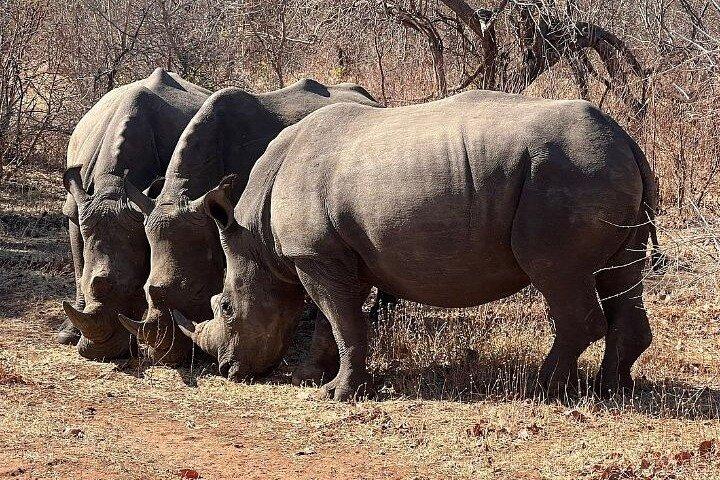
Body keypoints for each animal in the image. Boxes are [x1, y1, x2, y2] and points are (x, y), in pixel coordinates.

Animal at [59, 68, 210, 360]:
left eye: (132, 291)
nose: (99, 352)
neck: (113, 186)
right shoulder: (78, 208)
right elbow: (79, 264)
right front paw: (68, 335)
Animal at [171, 90, 663, 400]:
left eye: (225, 308)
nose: (228, 371)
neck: (255, 235)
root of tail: (627, 141)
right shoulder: (335, 256)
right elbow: (336, 322)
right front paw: (315, 377)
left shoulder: (314, 255)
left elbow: (343, 321)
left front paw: (337, 394)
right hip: (599, 170)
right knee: (620, 275)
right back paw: (612, 390)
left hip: (567, 175)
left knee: (560, 275)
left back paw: (542, 389)